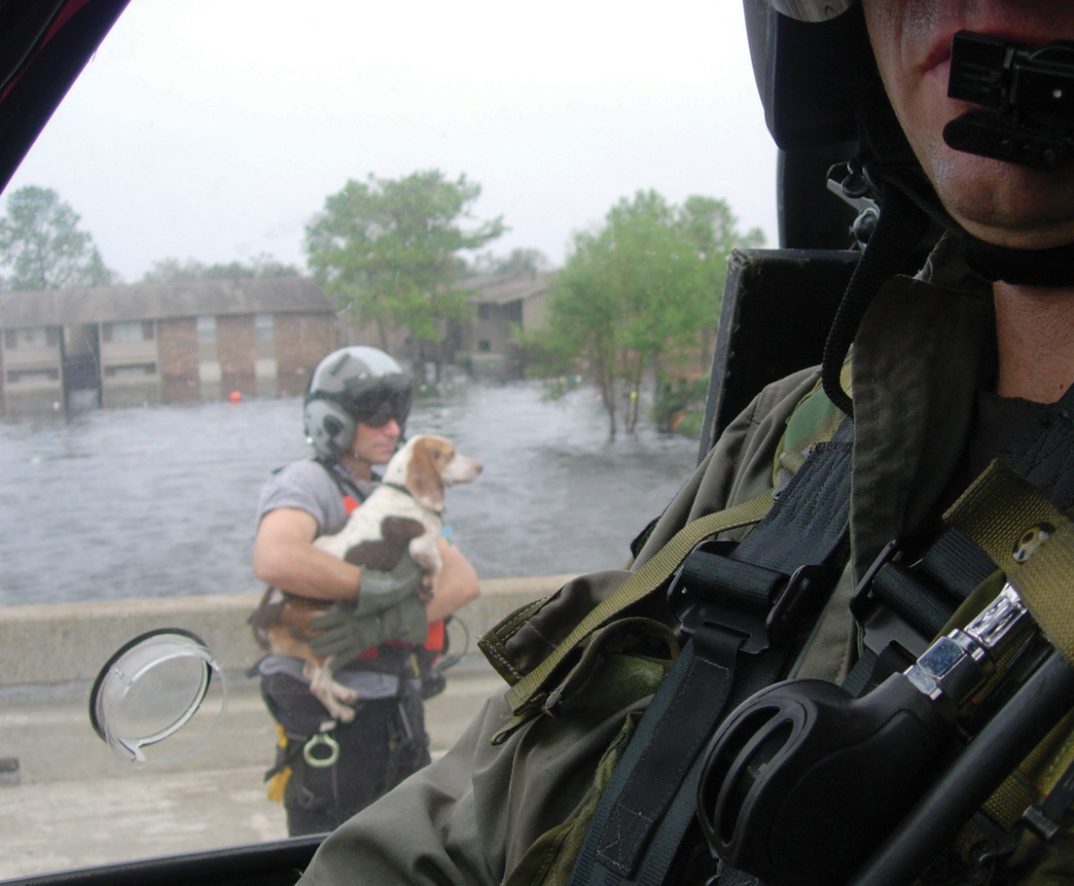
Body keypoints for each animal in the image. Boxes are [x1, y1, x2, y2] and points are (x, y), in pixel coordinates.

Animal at [249, 433, 481, 717]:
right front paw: (429, 583)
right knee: (316, 683)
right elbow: (436, 564)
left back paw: (343, 692)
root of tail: (268, 608)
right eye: (450, 454)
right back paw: (340, 711)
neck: (404, 491)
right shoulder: (421, 545)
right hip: (325, 635)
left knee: (312, 672)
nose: (480, 467)